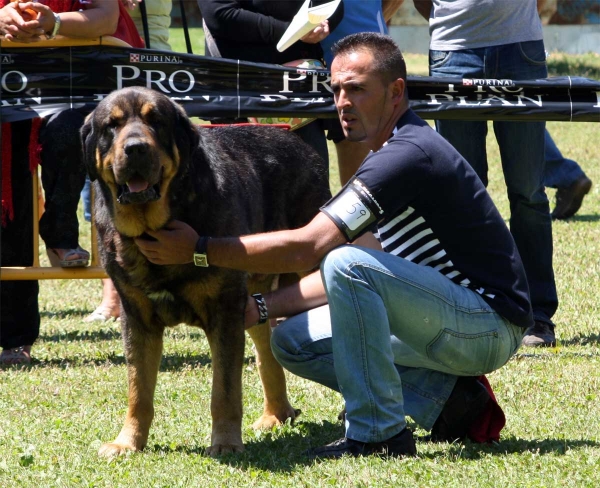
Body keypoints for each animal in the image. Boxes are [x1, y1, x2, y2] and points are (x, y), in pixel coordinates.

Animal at [80, 86, 330, 458]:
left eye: (156, 121)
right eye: (112, 125)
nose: (136, 147)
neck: (155, 225)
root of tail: (302, 147)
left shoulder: (224, 313)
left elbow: (223, 391)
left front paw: (225, 443)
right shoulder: (137, 317)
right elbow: (139, 389)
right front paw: (128, 442)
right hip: (254, 297)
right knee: (267, 348)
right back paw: (275, 415)